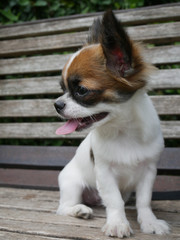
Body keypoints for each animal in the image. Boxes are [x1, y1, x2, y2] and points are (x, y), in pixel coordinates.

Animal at [54, 9, 169, 238]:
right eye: (62, 88)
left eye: (81, 90)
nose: (57, 104)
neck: (122, 130)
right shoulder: (104, 172)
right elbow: (114, 201)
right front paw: (117, 223)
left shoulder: (148, 170)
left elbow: (144, 200)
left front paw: (149, 222)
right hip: (72, 184)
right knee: (63, 208)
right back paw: (79, 210)